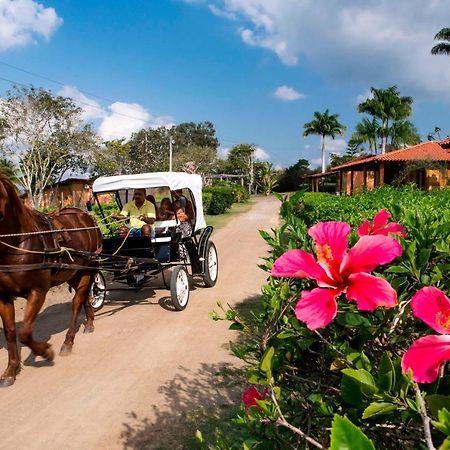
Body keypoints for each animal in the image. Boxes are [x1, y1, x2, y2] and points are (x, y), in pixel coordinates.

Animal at [0, 172, 102, 386]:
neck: (18, 242)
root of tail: (85, 215)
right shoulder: (3, 297)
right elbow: (11, 332)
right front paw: (11, 369)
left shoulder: (37, 291)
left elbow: (25, 332)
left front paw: (45, 351)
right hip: (73, 272)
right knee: (84, 297)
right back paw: (89, 322)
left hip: (87, 267)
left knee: (77, 302)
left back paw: (68, 341)